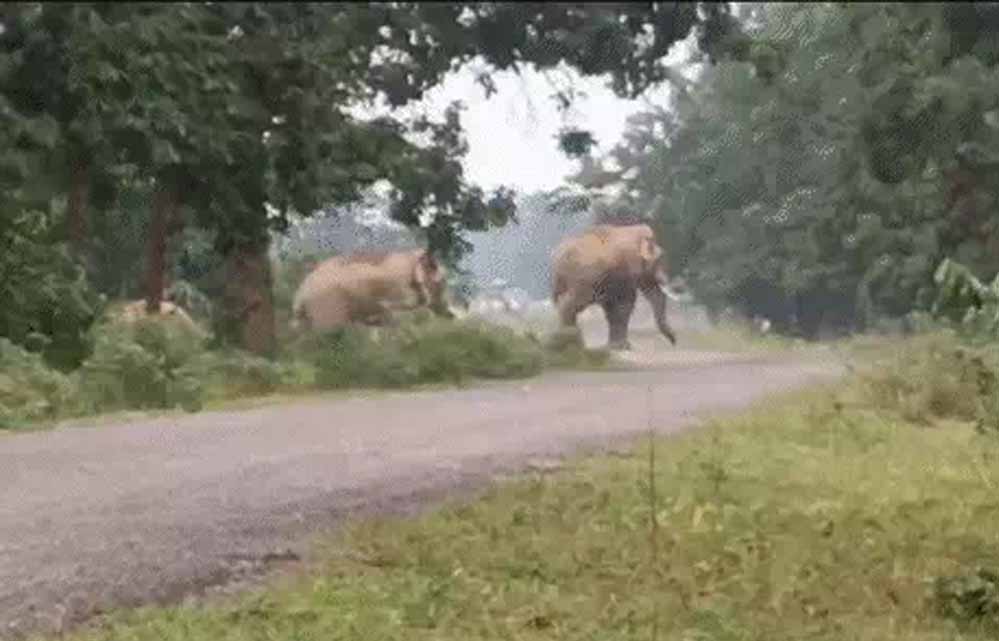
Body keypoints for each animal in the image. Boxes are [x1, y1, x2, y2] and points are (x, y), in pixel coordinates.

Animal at [292, 248, 456, 332]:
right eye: (443, 282)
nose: (451, 316)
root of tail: (301, 291)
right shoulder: (399, 286)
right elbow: (400, 314)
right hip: (327, 302)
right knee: (331, 331)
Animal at [552, 221, 684, 350]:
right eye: (660, 259)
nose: (674, 341)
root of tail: (558, 258)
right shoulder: (624, 273)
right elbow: (625, 306)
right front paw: (623, 346)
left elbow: (612, 309)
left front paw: (613, 346)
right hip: (582, 280)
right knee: (570, 304)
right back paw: (570, 341)